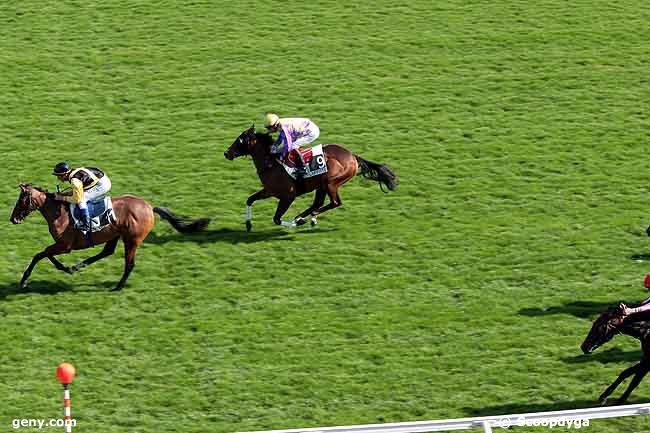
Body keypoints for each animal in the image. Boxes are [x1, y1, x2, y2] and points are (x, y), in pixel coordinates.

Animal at [10, 184, 209, 292]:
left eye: (21, 199)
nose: (13, 218)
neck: (59, 213)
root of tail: (149, 207)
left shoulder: (65, 245)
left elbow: (40, 254)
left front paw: (24, 281)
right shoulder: (62, 245)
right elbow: (45, 254)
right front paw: (68, 268)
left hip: (131, 240)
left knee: (129, 264)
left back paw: (118, 286)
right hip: (115, 235)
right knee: (107, 252)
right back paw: (78, 266)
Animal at [223, 125, 394, 230]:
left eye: (240, 140)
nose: (226, 153)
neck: (271, 163)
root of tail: (353, 156)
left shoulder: (288, 196)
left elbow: (276, 219)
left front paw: (295, 223)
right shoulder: (269, 191)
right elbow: (249, 199)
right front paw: (248, 224)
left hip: (331, 182)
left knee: (334, 203)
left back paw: (302, 219)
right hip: (322, 185)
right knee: (318, 204)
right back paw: (305, 218)